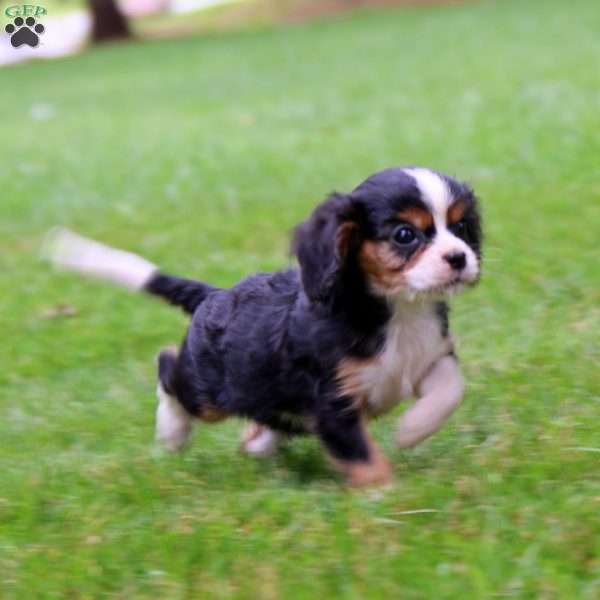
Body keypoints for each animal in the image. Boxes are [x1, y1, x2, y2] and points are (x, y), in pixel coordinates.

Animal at [49, 166, 486, 486]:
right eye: (405, 234)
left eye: (461, 228)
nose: (459, 258)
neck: (399, 310)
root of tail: (213, 294)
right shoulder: (332, 400)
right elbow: (362, 455)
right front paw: (385, 497)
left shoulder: (430, 355)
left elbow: (451, 388)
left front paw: (412, 429)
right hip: (211, 390)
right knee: (168, 368)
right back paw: (173, 432)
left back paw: (258, 442)